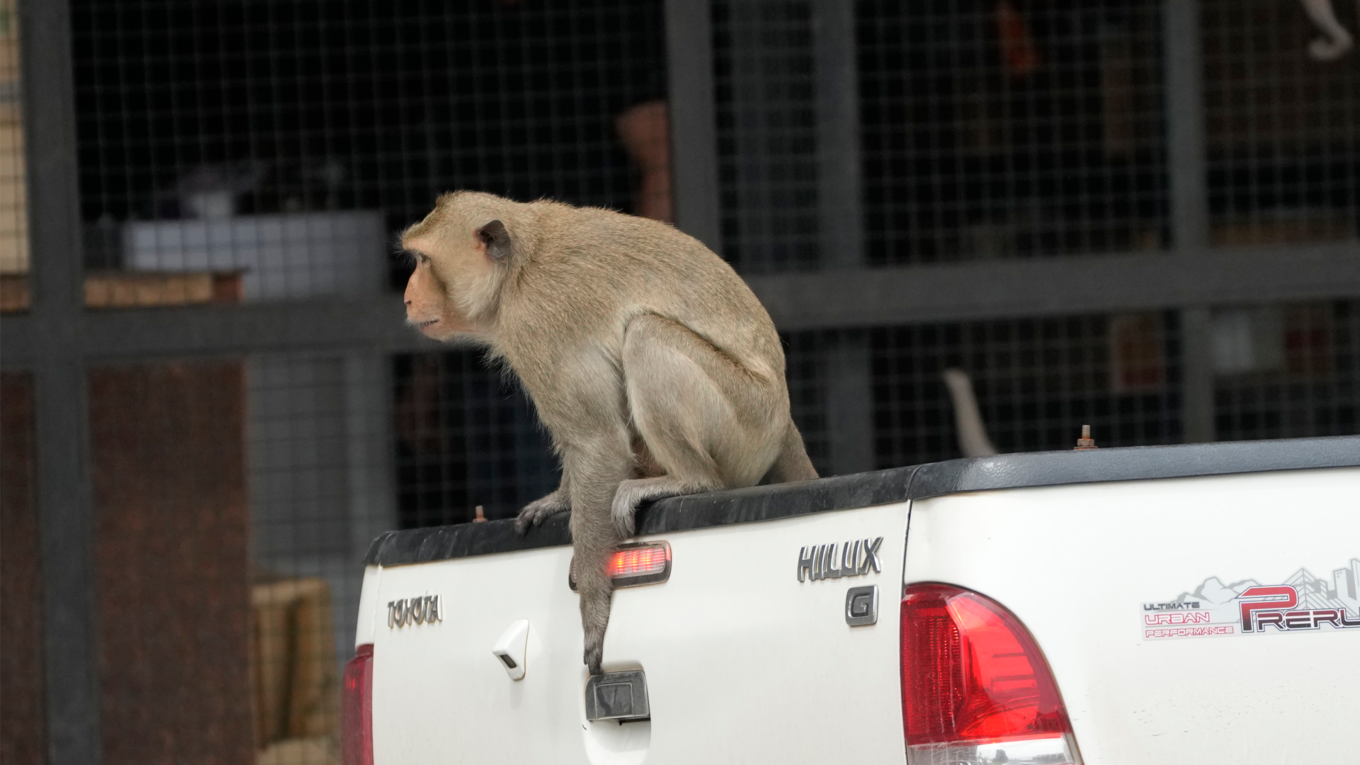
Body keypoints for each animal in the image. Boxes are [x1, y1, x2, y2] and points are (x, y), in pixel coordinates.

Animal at [401, 191, 817, 675]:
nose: (407, 298)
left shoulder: (535, 321)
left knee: (646, 336)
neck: (517, 270)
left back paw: (691, 480)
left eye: (423, 260)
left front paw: (594, 607)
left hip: (747, 421)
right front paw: (561, 498)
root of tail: (783, 417)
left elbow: (597, 443)